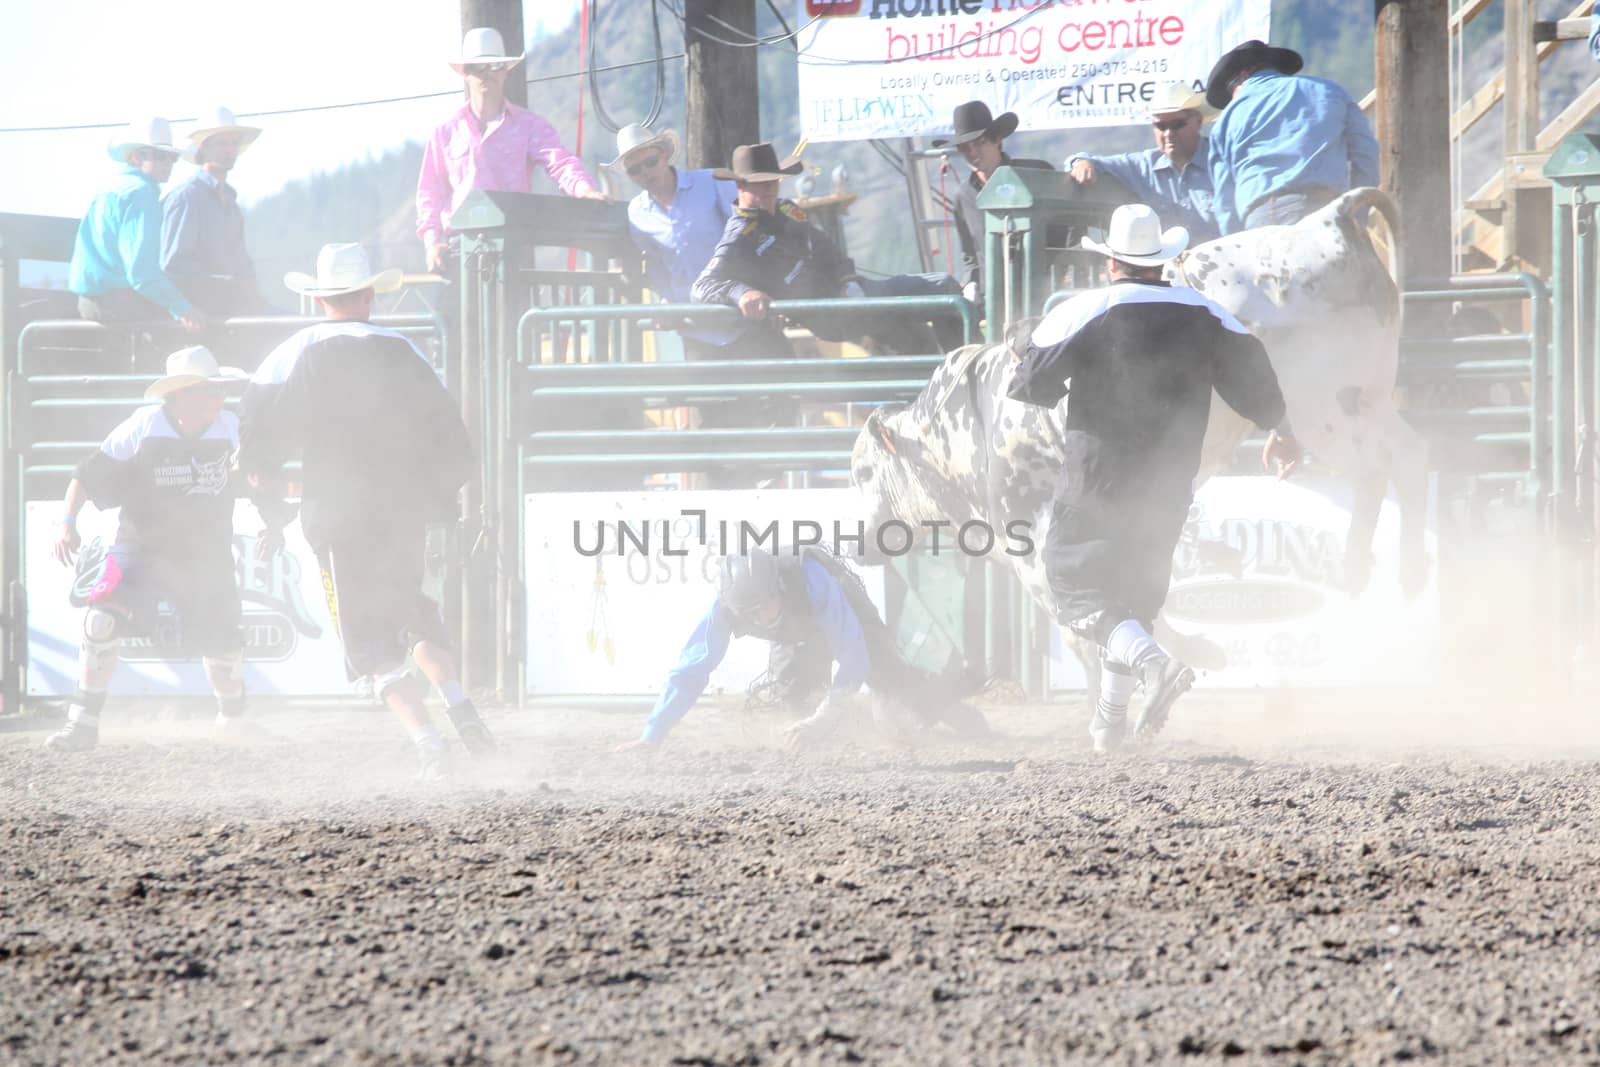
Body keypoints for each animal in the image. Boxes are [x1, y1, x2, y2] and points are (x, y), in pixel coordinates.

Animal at [857, 187, 1433, 684]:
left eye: (862, 472)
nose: (859, 543)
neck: (962, 430)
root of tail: (1326, 222)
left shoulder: (1036, 546)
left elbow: (1084, 618)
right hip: (1369, 402)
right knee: (1410, 460)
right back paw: (1395, 576)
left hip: (1326, 407)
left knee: (1377, 468)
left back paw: (1366, 569)